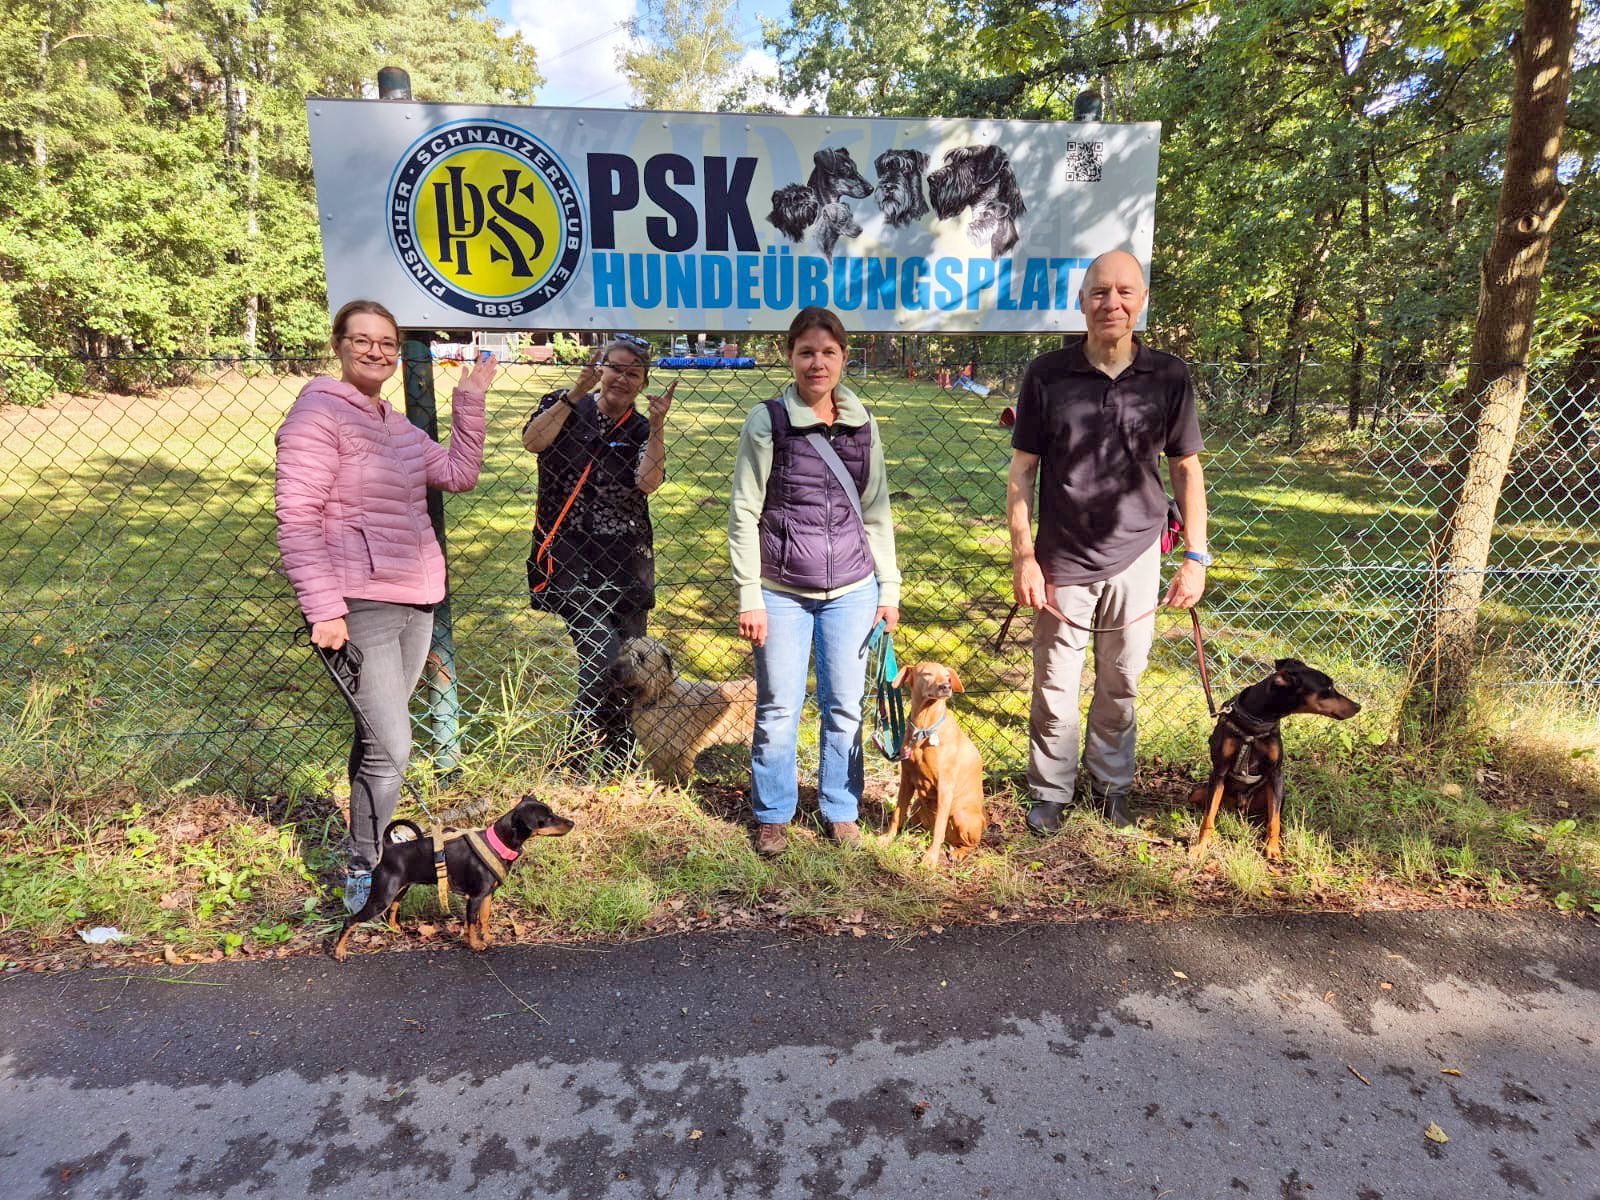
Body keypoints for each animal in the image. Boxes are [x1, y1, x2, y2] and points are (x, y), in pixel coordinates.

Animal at [332, 794, 573, 961]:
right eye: (547, 818)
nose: (572, 823)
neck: (498, 844)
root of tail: (389, 847)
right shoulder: (474, 897)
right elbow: (472, 923)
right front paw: (475, 945)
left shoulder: (487, 895)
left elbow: (484, 918)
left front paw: (488, 938)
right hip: (382, 896)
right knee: (350, 920)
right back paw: (340, 951)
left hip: (399, 889)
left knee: (393, 909)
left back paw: (396, 929)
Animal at [609, 635, 757, 783]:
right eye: (623, 651)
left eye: (641, 657)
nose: (613, 670)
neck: (661, 696)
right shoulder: (657, 752)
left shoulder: (678, 753)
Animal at [884, 661, 986, 868]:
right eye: (927, 674)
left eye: (947, 676)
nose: (946, 687)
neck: (924, 728)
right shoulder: (906, 780)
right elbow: (897, 814)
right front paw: (887, 839)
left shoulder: (944, 788)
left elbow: (939, 827)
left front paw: (930, 859)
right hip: (917, 805)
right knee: (923, 826)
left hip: (961, 816)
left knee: (969, 843)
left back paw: (958, 852)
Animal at [1187, 659, 1361, 863]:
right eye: (1328, 688)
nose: (1358, 706)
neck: (1256, 723)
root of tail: (1240, 809)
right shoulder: (1219, 772)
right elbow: (1208, 817)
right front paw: (1200, 847)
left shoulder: (1276, 774)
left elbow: (1274, 820)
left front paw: (1272, 848)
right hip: (1198, 792)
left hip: (1277, 792)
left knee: (1270, 817)